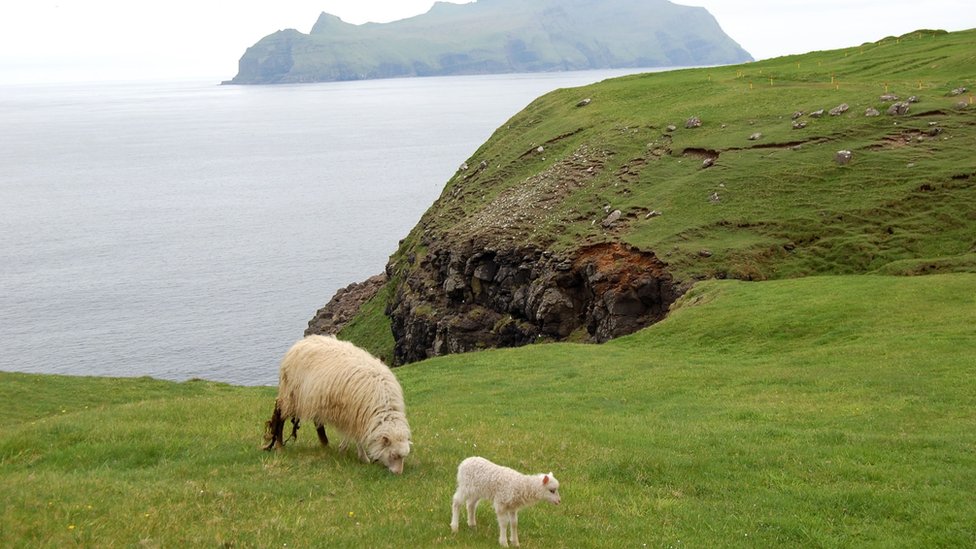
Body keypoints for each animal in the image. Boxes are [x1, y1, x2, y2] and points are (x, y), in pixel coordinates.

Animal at [262, 332, 410, 474]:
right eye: (393, 455)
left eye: (403, 457)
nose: (398, 473)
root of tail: (300, 343)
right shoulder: (353, 414)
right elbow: (355, 436)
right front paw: (362, 457)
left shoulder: (354, 415)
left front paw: (342, 449)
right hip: (291, 394)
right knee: (279, 416)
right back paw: (279, 446)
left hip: (315, 397)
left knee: (317, 422)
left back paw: (325, 444)